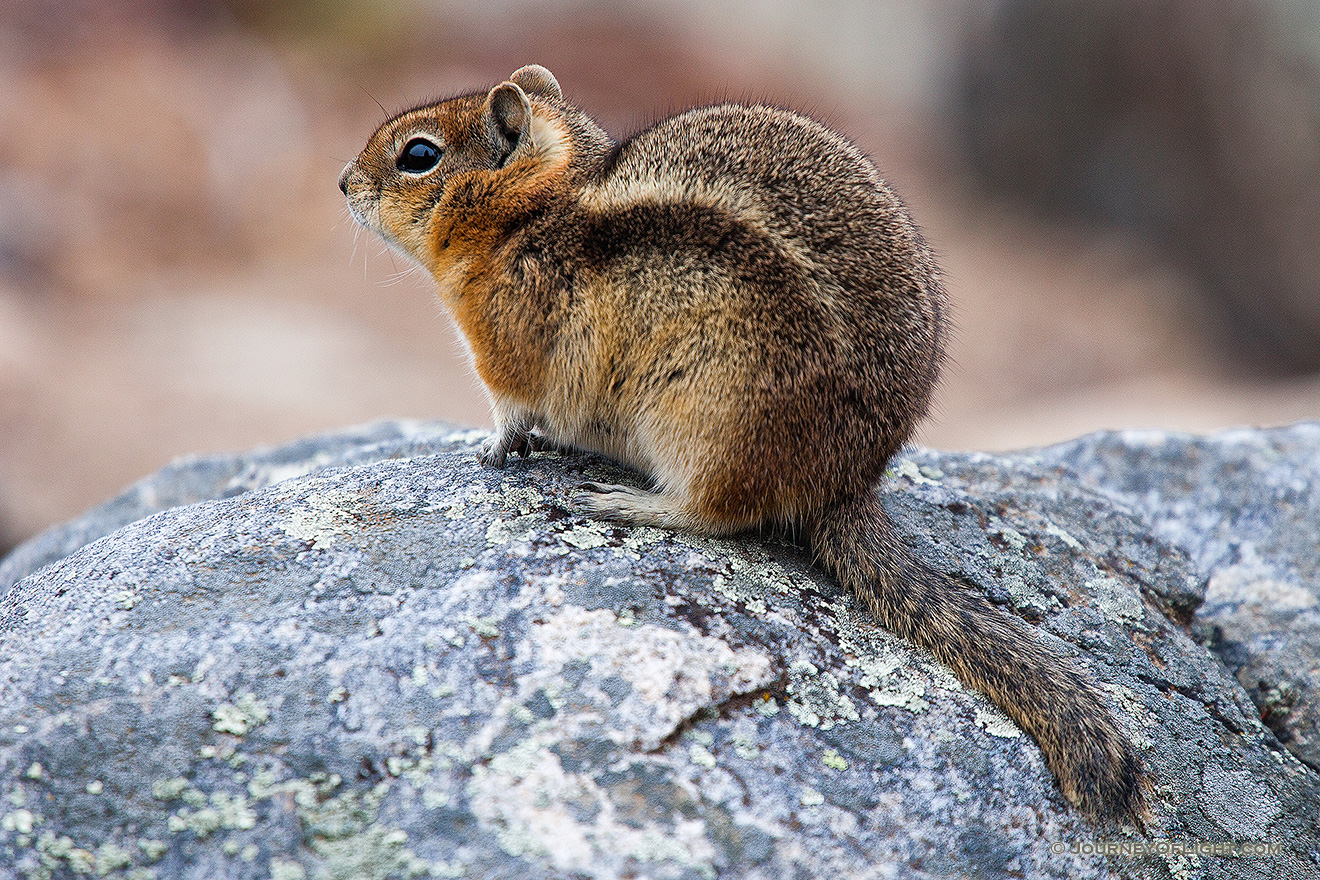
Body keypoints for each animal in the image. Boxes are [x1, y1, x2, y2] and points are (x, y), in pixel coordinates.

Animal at [340, 63, 1145, 828]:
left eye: (418, 155)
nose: (344, 183)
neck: (530, 215)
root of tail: (846, 483)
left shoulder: (509, 353)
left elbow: (511, 410)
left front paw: (492, 448)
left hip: (702, 417)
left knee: (716, 514)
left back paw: (627, 502)